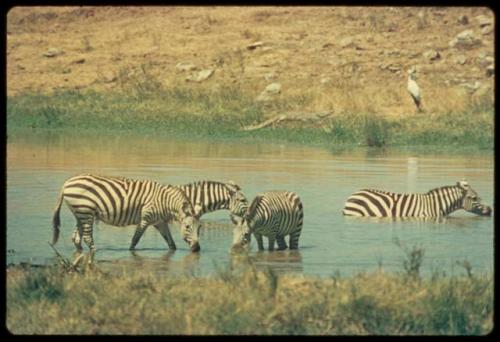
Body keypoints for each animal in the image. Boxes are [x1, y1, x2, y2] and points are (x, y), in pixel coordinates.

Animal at [52, 174, 203, 254]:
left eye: (200, 228)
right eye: (188, 227)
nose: (197, 249)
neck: (166, 202)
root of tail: (66, 183)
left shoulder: (159, 222)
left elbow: (171, 243)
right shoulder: (145, 219)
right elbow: (135, 239)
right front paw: (131, 252)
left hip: (80, 213)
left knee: (76, 238)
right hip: (86, 212)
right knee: (87, 237)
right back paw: (95, 252)